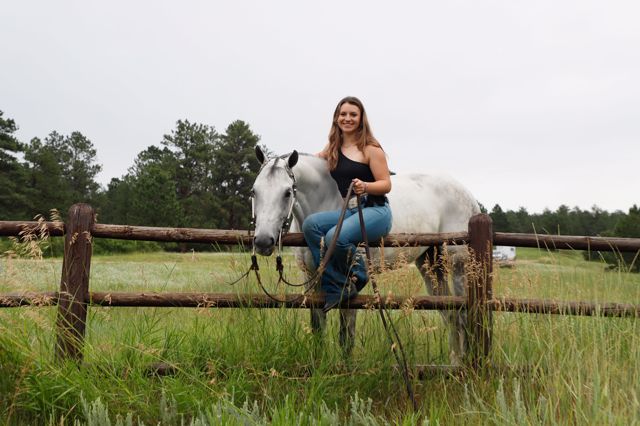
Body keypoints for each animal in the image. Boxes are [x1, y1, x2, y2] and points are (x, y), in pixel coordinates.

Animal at [251, 146, 481, 362]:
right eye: (254, 191)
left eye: (287, 192)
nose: (263, 241)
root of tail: (468, 195)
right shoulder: (310, 276)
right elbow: (317, 326)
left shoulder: (347, 281)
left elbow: (346, 332)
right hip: (430, 264)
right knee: (451, 314)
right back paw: (454, 362)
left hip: (459, 265)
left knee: (463, 314)